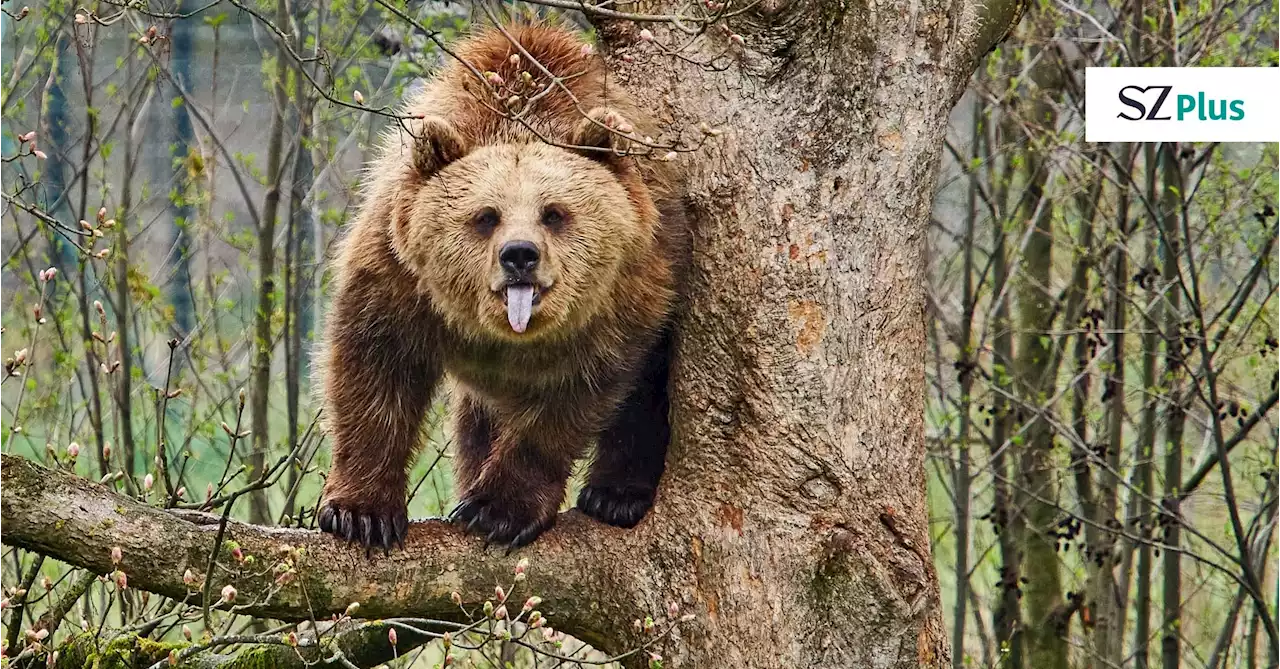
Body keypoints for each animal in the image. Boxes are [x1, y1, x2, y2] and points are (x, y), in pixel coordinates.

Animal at [318, 23, 691, 552]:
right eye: (485, 216)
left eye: (554, 213)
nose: (519, 255)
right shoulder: (400, 275)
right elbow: (376, 369)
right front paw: (361, 514)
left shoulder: (621, 302)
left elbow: (570, 401)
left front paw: (497, 511)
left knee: (646, 394)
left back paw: (615, 496)